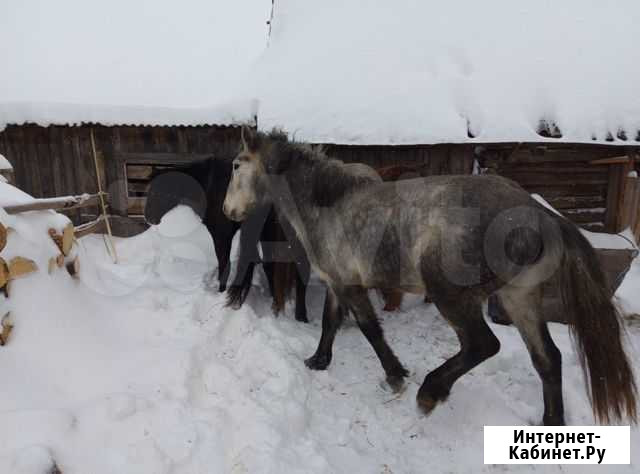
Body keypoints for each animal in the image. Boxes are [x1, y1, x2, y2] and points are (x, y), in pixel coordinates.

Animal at [142, 156, 310, 322]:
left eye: (160, 192)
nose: (148, 218)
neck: (209, 185)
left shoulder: (221, 236)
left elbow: (225, 266)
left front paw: (221, 293)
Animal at [224, 128, 636, 428]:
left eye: (235, 165)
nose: (229, 211)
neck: (329, 204)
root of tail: (538, 212)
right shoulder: (338, 282)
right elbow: (330, 322)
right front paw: (318, 361)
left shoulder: (349, 285)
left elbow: (370, 329)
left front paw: (395, 375)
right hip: (519, 297)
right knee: (547, 358)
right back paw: (551, 424)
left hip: (450, 294)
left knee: (482, 345)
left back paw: (430, 392)